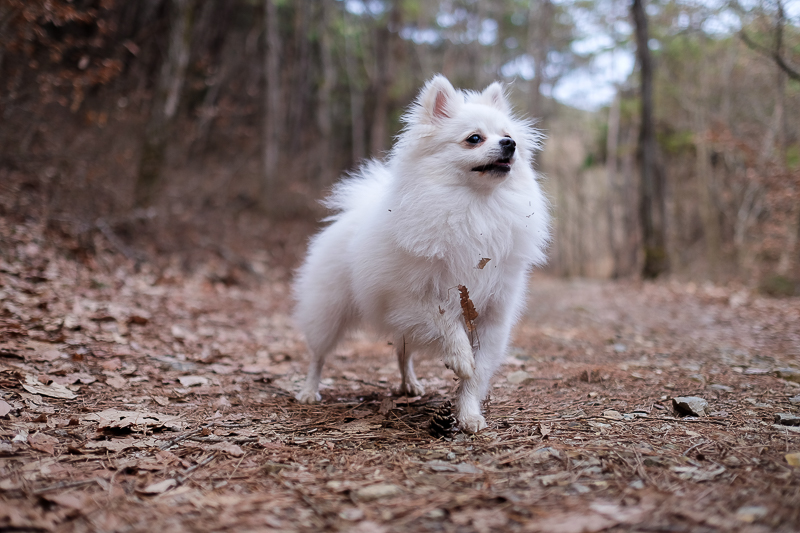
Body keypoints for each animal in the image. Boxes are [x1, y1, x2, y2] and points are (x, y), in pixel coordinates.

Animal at [293, 75, 550, 433]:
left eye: (508, 135)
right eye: (474, 138)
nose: (509, 144)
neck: (476, 209)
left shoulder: (494, 315)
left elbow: (477, 375)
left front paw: (468, 414)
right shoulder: (411, 298)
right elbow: (446, 322)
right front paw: (459, 357)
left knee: (403, 354)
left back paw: (409, 384)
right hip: (329, 312)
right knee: (318, 355)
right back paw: (308, 390)